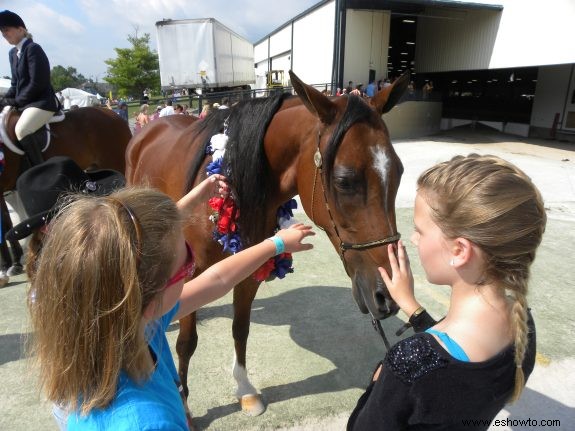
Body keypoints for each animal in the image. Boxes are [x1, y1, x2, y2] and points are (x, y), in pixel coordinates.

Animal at [126, 71, 408, 418]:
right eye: (344, 181)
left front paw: (245, 390)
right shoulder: (189, 275)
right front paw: (185, 403)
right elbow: (187, 342)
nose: (387, 295)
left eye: (399, 172)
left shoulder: (249, 269)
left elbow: (241, 329)